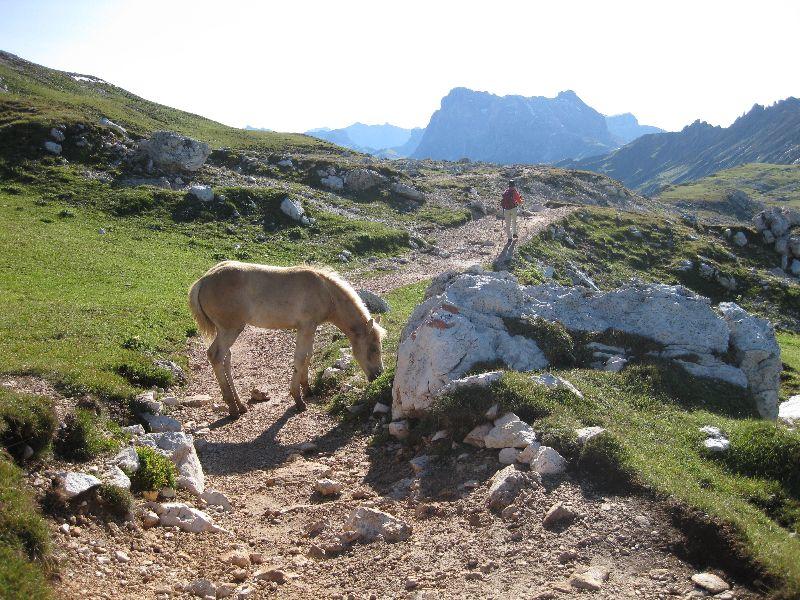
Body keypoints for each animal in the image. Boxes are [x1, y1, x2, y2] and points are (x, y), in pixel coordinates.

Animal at [189, 260, 386, 420]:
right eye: (374, 348)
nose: (378, 375)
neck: (325, 291)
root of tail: (203, 280)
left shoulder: (310, 328)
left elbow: (308, 356)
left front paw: (307, 390)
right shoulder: (306, 326)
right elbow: (300, 358)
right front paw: (298, 399)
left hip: (225, 331)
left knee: (226, 359)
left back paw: (241, 405)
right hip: (230, 330)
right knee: (215, 355)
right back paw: (232, 409)